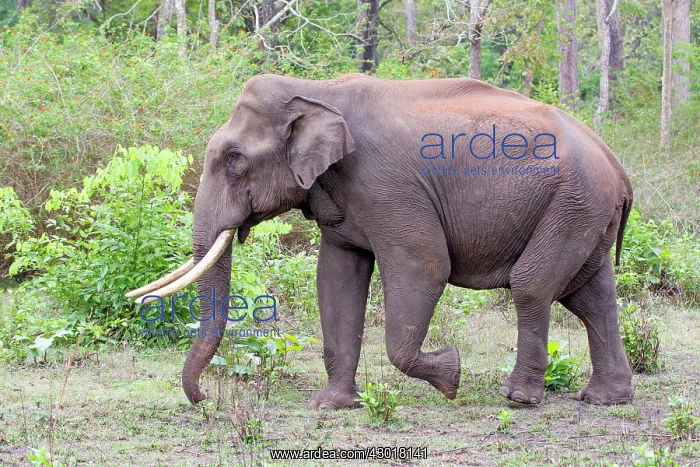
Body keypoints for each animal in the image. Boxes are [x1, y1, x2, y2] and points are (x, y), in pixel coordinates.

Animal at [127, 73, 634, 409]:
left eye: (234, 158)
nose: (203, 402)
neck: (318, 89)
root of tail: (618, 165)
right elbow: (336, 278)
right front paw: (332, 405)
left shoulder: (388, 185)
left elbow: (424, 264)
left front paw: (451, 376)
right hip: (585, 214)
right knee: (590, 296)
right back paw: (605, 399)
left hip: (572, 205)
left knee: (531, 286)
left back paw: (518, 399)